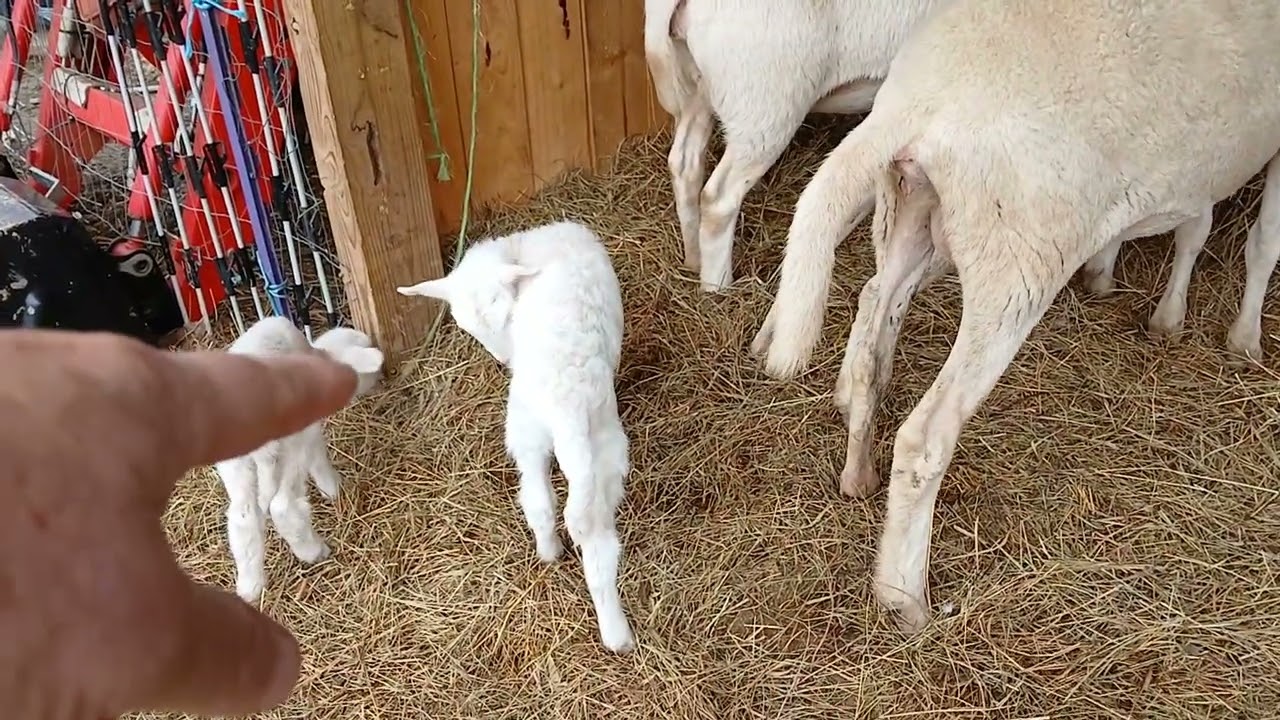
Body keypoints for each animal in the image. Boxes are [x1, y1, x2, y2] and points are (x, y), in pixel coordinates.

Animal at [215, 316, 385, 604]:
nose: (381, 376)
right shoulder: (310, 431)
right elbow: (318, 458)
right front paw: (333, 489)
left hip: (235, 464)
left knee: (243, 516)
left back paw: (250, 587)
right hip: (288, 444)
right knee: (282, 505)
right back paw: (313, 551)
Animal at [396, 220, 636, 653]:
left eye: (506, 315)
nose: (504, 359)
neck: (522, 250)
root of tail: (565, 406)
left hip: (527, 428)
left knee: (540, 503)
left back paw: (552, 557)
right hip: (602, 448)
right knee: (598, 542)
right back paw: (618, 634)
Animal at [644, 0, 948, 292]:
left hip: (697, 87)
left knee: (685, 164)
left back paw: (693, 258)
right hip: (765, 107)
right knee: (718, 199)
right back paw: (717, 287)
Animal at [749, 0, 1280, 634]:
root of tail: (918, 102)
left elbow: (1196, 221)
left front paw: (1138, 295)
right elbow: (1261, 240)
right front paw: (1243, 338)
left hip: (913, 209)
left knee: (874, 325)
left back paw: (858, 475)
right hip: (1016, 260)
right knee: (927, 435)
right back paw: (905, 596)